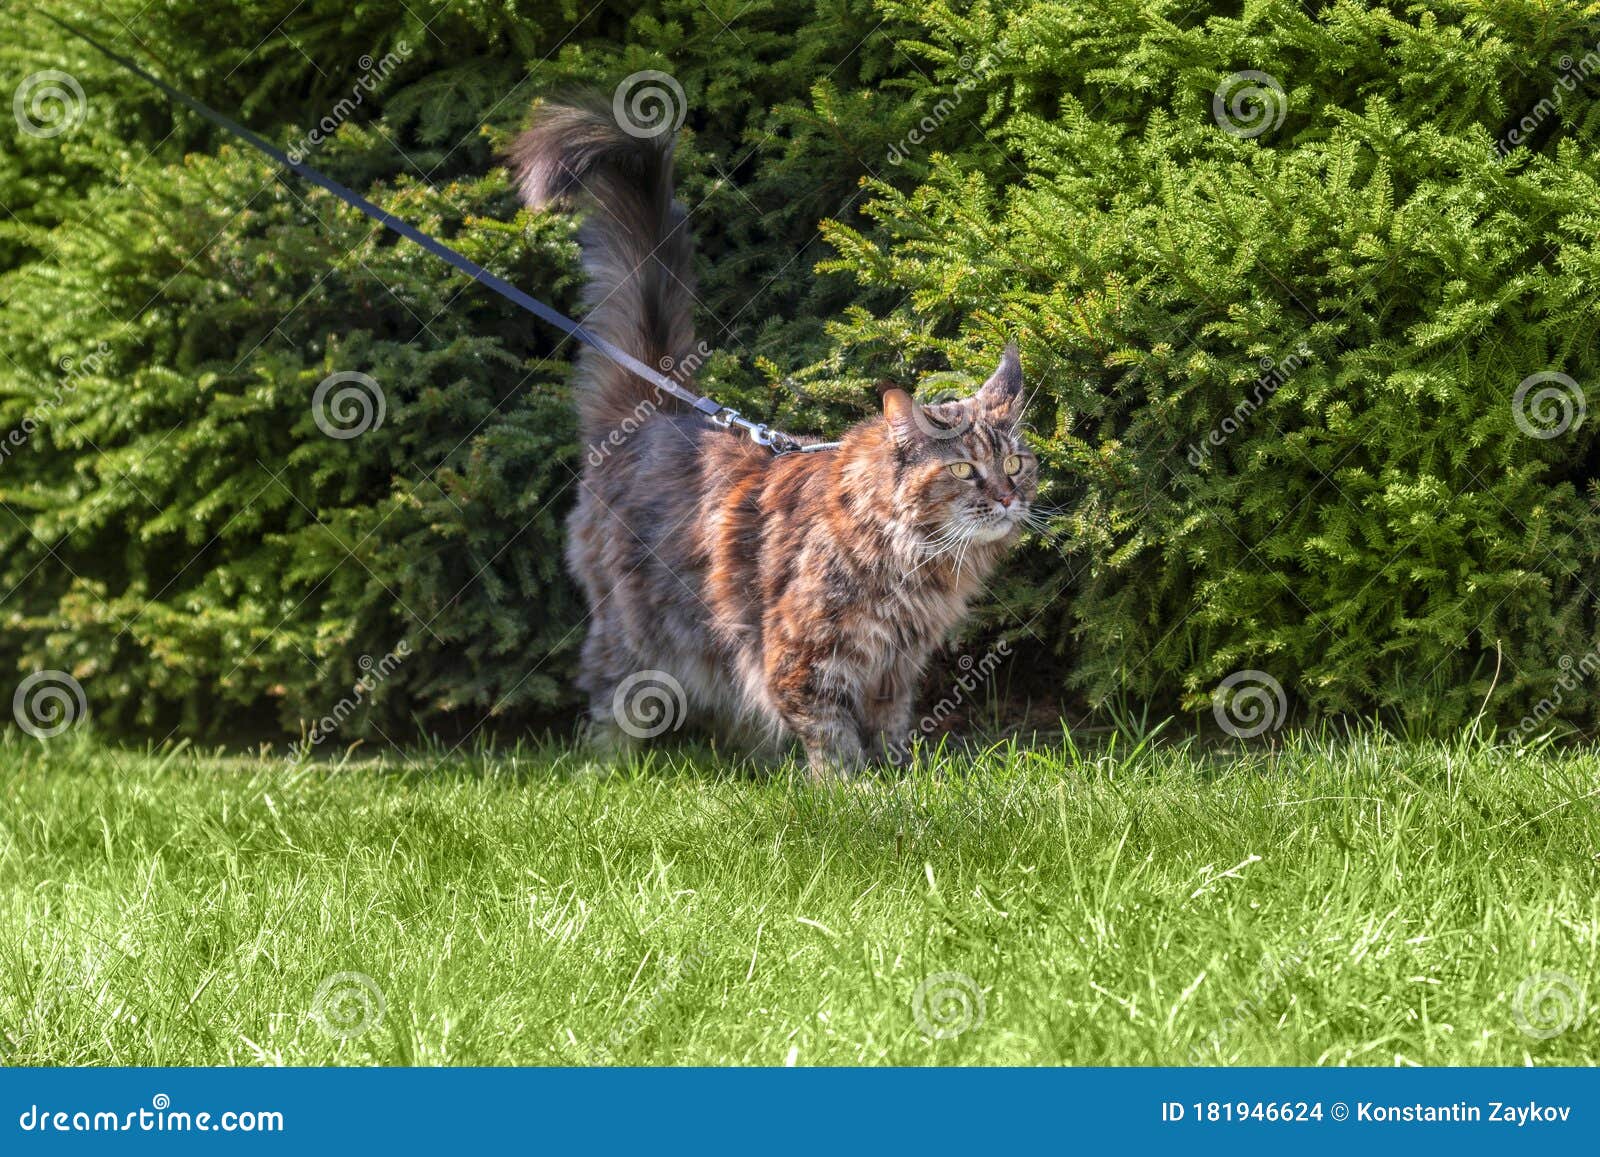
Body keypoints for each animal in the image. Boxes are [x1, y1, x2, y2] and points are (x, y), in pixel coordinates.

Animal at [512, 104, 1036, 784]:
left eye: (1015, 463)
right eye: (965, 471)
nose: (1005, 498)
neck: (907, 554)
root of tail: (656, 413)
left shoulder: (894, 668)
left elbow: (890, 734)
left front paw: (898, 777)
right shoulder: (802, 656)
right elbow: (834, 739)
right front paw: (851, 791)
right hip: (634, 632)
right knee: (610, 703)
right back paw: (607, 770)